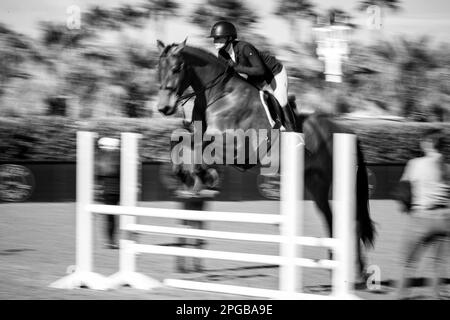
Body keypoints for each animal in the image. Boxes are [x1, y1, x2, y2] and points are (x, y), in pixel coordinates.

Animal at [156, 39, 374, 280]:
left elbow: (201, 147)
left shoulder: (237, 146)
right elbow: (180, 138)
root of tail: (347, 132)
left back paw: (358, 274)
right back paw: (335, 265)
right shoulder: (199, 134)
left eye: (176, 68)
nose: (164, 108)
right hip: (315, 182)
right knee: (330, 217)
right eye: (159, 70)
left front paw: (205, 174)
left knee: (354, 220)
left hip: (342, 180)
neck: (219, 95)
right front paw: (185, 173)